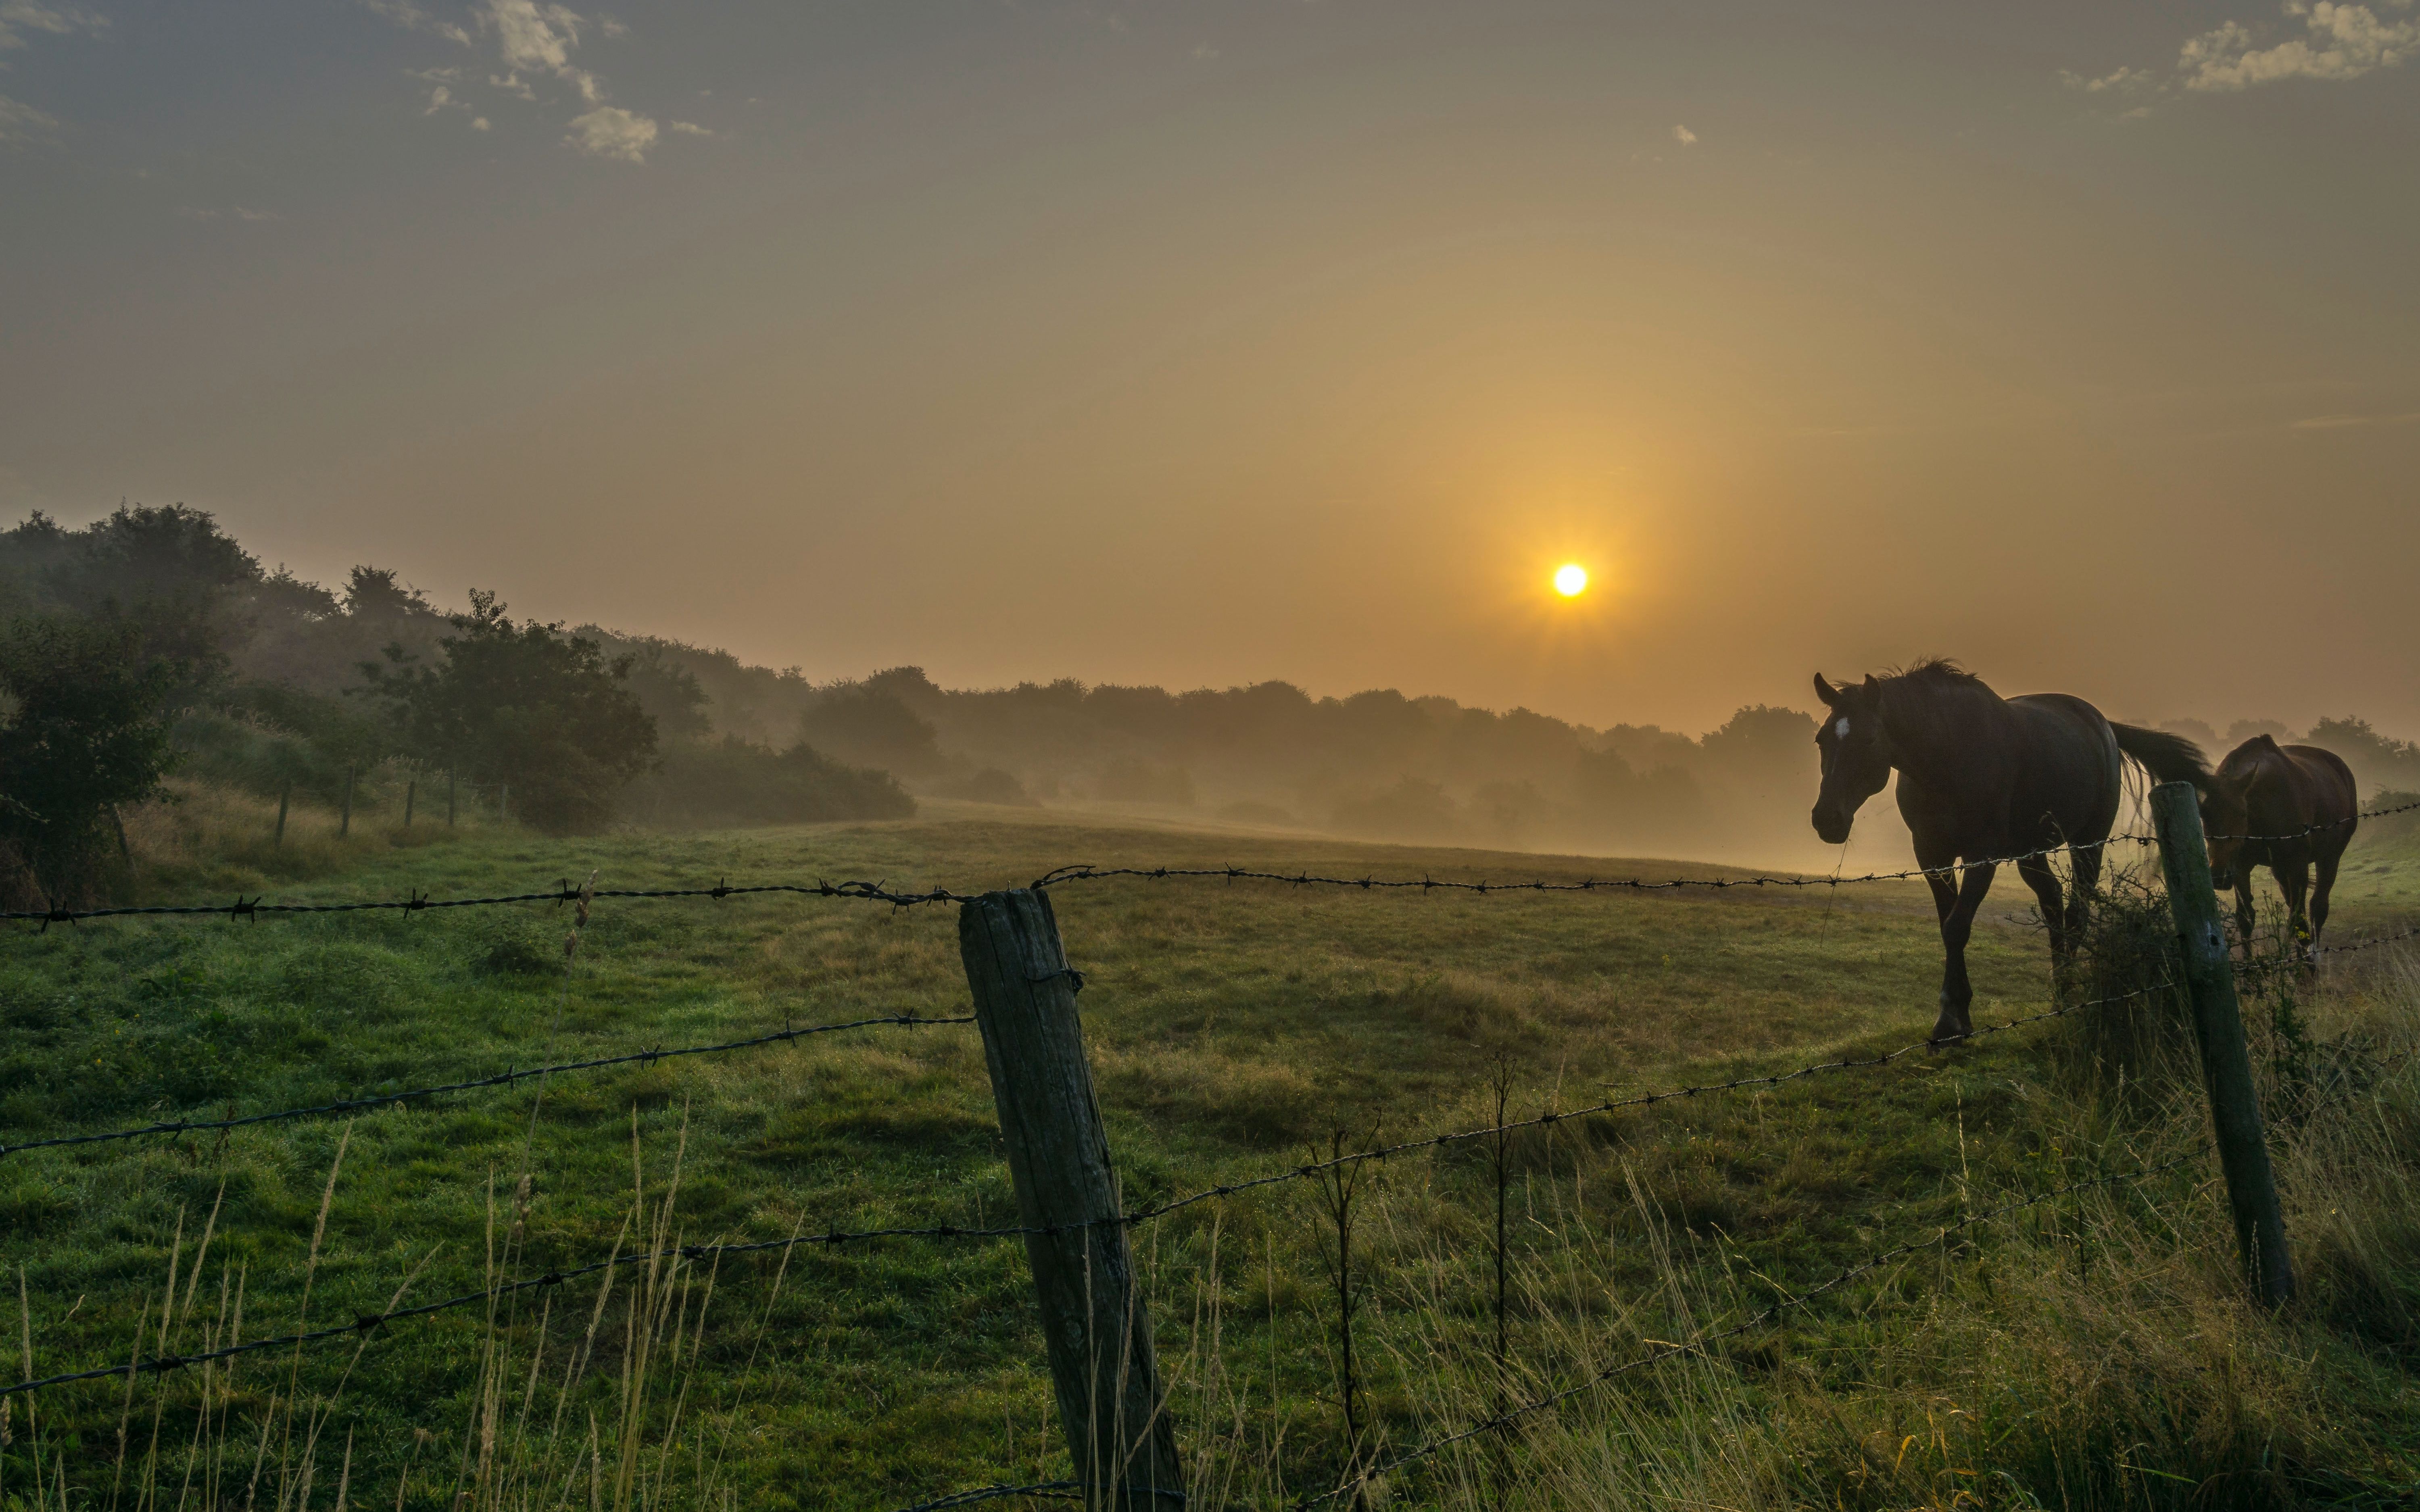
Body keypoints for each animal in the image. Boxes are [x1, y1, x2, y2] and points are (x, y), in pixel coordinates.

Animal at [2207, 735, 2352, 963]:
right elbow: (2246, 918)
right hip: (2279, 869)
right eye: (2202, 813)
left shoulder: (2298, 866)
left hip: (2329, 858)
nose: (2218, 876)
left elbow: (2299, 919)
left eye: (2241, 814)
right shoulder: (2241, 868)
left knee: (2317, 908)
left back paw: (2313, 957)